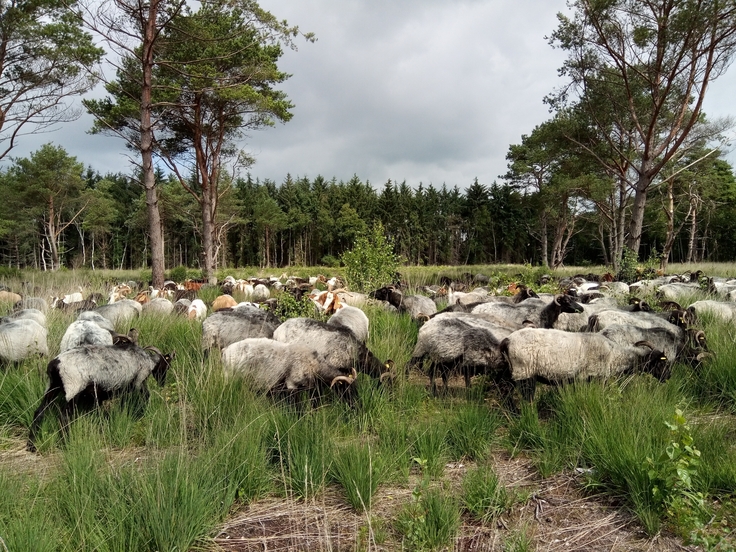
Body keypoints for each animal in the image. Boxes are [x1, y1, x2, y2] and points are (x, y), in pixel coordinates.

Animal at [27, 340, 175, 452]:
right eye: (166, 365)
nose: (162, 383)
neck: (147, 360)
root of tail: (55, 364)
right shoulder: (138, 381)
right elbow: (144, 397)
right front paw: (141, 414)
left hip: (52, 387)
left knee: (39, 412)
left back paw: (31, 445)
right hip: (73, 388)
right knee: (64, 418)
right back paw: (66, 444)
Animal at [500, 328, 668, 402]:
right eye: (661, 363)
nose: (668, 377)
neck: (615, 355)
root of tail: (507, 340)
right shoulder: (597, 377)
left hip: (512, 371)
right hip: (524, 372)